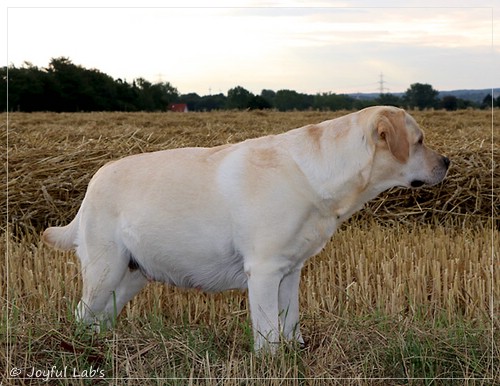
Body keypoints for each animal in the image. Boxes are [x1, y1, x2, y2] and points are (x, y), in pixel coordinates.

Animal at [43, 106, 450, 352]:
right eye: (419, 141)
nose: (446, 161)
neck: (319, 175)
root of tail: (94, 180)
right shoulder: (265, 270)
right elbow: (268, 330)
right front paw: (271, 362)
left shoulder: (290, 270)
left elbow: (290, 322)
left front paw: (294, 354)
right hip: (105, 269)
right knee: (81, 313)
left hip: (132, 274)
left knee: (100, 317)